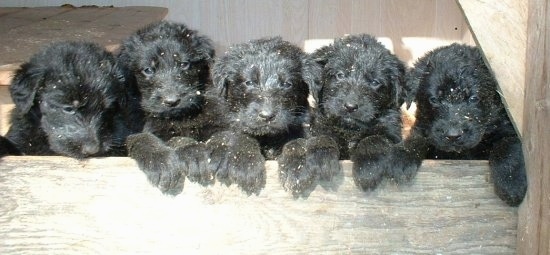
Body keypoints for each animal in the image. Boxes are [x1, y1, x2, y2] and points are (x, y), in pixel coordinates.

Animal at [211, 36, 324, 194]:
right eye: (249, 82)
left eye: (287, 84)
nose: (267, 116)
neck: (268, 136)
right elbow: (243, 137)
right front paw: (246, 165)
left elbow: (296, 141)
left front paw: (297, 167)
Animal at [280, 33, 406, 193]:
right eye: (340, 75)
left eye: (375, 82)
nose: (350, 106)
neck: (349, 130)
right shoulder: (320, 126)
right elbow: (323, 137)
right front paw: (323, 159)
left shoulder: (391, 132)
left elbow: (375, 138)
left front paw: (368, 169)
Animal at [394, 43, 528, 206]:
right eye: (434, 100)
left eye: (473, 98)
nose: (453, 135)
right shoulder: (425, 129)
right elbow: (417, 138)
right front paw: (403, 157)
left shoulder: (507, 128)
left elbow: (508, 145)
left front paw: (510, 184)